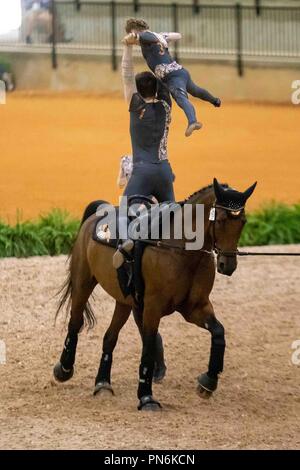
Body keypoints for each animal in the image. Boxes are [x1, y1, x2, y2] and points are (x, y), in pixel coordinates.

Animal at [54, 178, 255, 410]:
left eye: (243, 222)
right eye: (221, 220)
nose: (227, 265)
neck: (180, 250)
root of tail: (98, 213)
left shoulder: (195, 308)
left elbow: (218, 332)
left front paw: (208, 382)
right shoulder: (152, 307)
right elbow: (148, 348)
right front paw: (146, 398)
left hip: (124, 302)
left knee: (109, 337)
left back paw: (102, 384)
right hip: (83, 284)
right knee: (75, 323)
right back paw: (64, 369)